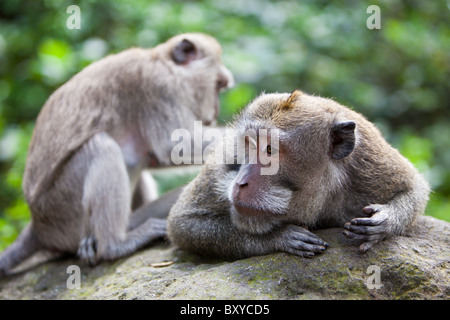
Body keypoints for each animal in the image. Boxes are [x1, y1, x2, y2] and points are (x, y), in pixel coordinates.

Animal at [0, 33, 234, 278]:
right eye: (218, 85)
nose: (215, 112)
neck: (162, 62)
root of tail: (38, 227)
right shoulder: (156, 86)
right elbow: (175, 144)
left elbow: (156, 155)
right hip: (63, 210)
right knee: (103, 147)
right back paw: (115, 244)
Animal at [167, 90, 430, 260]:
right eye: (250, 144)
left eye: (270, 150)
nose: (241, 182)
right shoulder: (223, 163)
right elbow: (183, 223)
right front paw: (278, 237)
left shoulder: (368, 163)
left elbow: (415, 186)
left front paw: (384, 221)